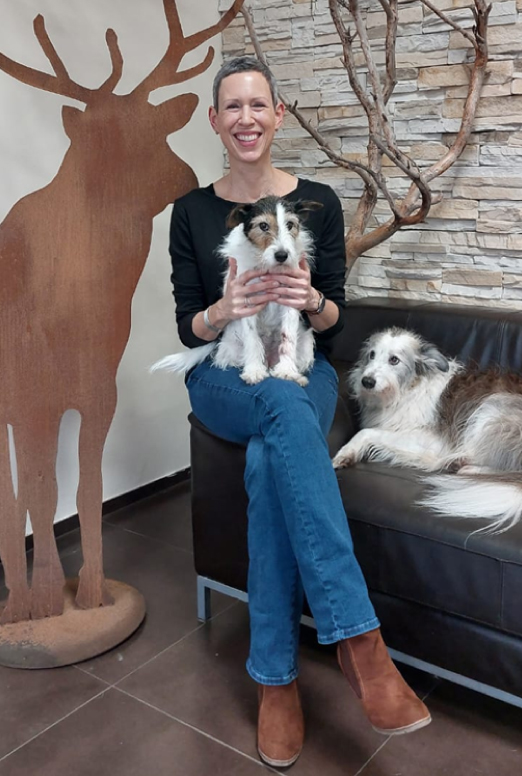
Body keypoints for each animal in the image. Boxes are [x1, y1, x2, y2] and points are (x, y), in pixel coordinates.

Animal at [0, 0, 244, 625]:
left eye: (157, 123)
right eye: (112, 136)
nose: (188, 178)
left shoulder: (96, 387)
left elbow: (83, 487)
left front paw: (89, 593)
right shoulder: (31, 394)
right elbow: (40, 492)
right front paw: (45, 599)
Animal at [152, 196, 319, 386]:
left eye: (290, 224)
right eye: (263, 226)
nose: (282, 255)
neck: (268, 267)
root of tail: (269, 361)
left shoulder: (291, 298)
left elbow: (287, 337)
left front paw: (286, 371)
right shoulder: (245, 301)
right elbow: (252, 338)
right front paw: (254, 370)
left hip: (305, 344)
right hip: (232, 346)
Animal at [332, 327, 522, 533]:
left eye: (394, 360)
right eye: (371, 355)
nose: (366, 382)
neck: (408, 389)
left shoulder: (435, 442)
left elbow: (366, 432)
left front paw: (345, 453)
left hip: (490, 408)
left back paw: (467, 467)